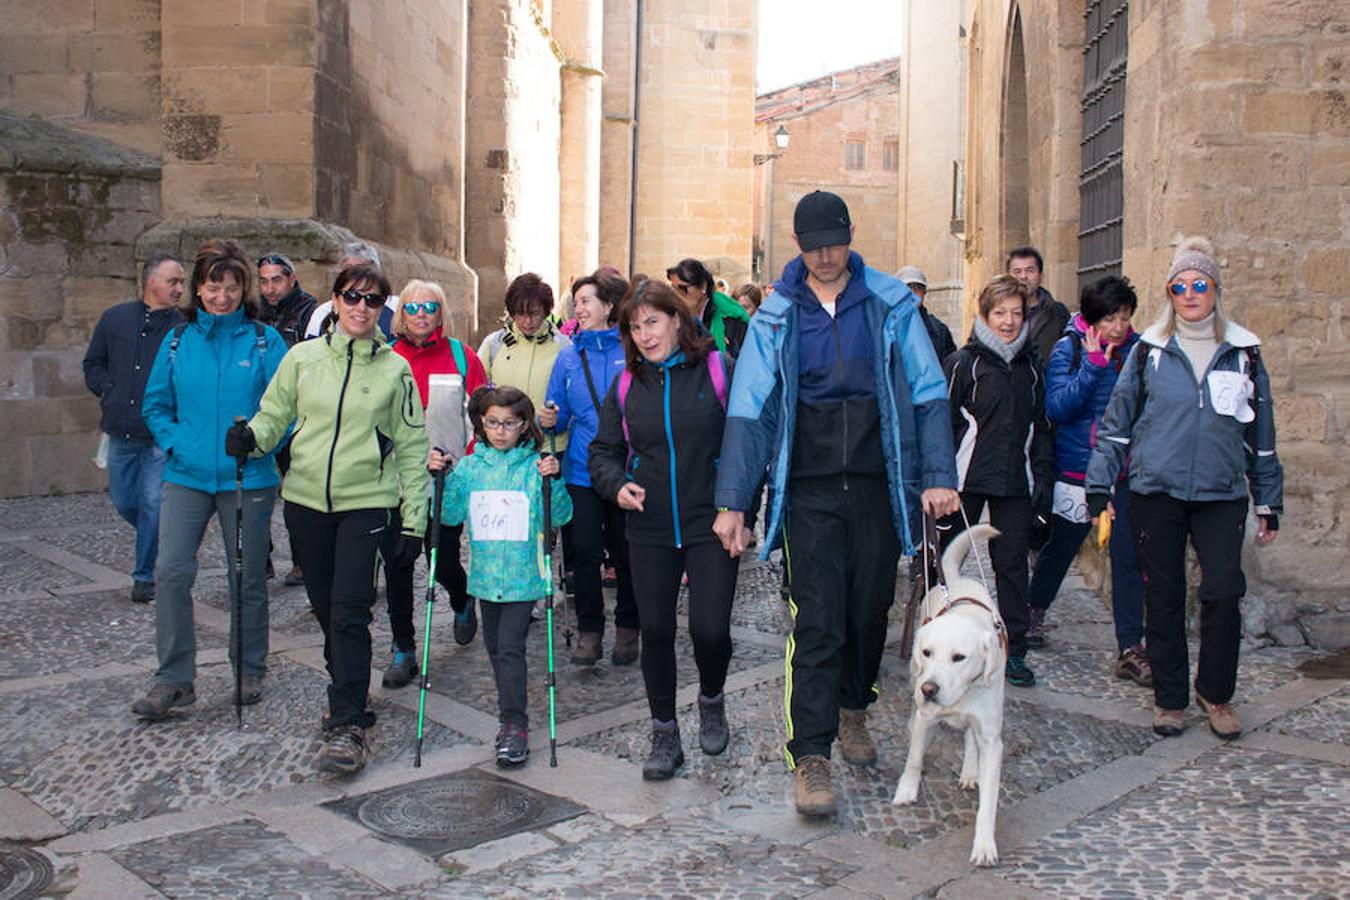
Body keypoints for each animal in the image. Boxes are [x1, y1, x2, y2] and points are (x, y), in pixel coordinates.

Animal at [891, 523, 1009, 868]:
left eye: (959, 657)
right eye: (927, 652)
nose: (928, 688)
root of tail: (954, 580)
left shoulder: (992, 738)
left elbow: (989, 802)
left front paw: (984, 845)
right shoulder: (926, 716)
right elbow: (914, 758)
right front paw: (907, 790)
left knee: (970, 738)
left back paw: (971, 770)